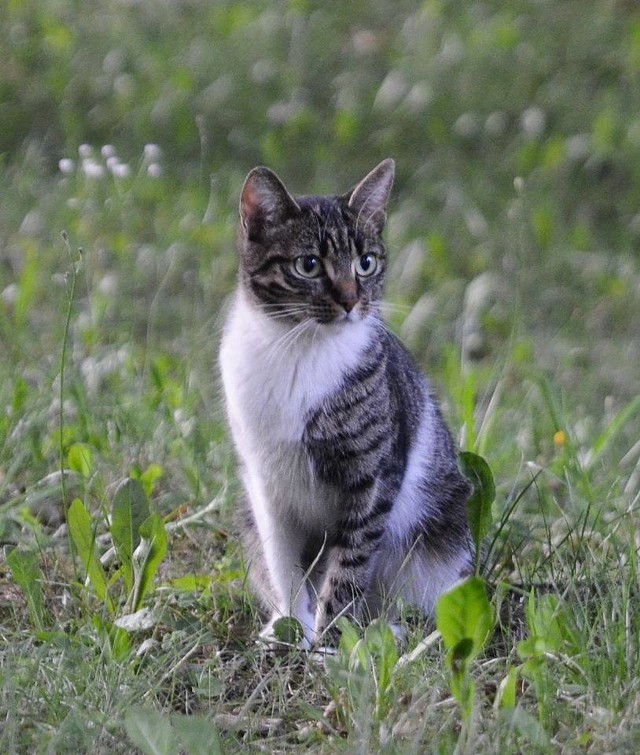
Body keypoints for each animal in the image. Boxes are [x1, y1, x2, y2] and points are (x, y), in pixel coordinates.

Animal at [218, 157, 472, 648]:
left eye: (366, 263)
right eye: (309, 265)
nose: (352, 300)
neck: (300, 351)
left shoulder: (374, 477)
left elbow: (348, 565)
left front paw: (331, 642)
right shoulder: (265, 483)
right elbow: (284, 564)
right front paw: (292, 628)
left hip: (443, 535)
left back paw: (386, 629)